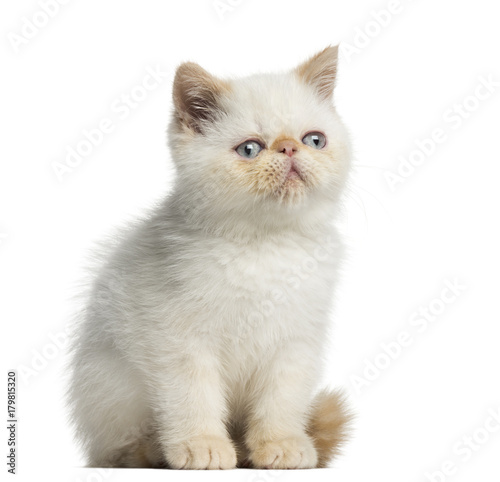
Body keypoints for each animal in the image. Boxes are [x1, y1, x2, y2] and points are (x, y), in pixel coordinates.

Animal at [67, 47, 352, 468]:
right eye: (249, 149)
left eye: (314, 140)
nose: (289, 147)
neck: (262, 245)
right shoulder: (177, 339)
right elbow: (192, 396)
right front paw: (201, 446)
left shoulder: (295, 341)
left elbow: (282, 398)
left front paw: (281, 443)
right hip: (106, 387)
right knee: (117, 448)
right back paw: (149, 450)